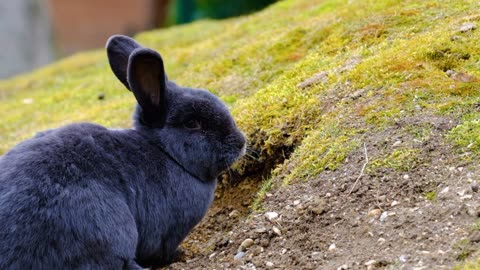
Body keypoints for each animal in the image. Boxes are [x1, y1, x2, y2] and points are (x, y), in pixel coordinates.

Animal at [0, 35, 246, 270]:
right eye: (192, 124)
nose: (241, 142)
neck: (165, 152)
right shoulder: (167, 233)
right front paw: (179, 255)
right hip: (105, 226)